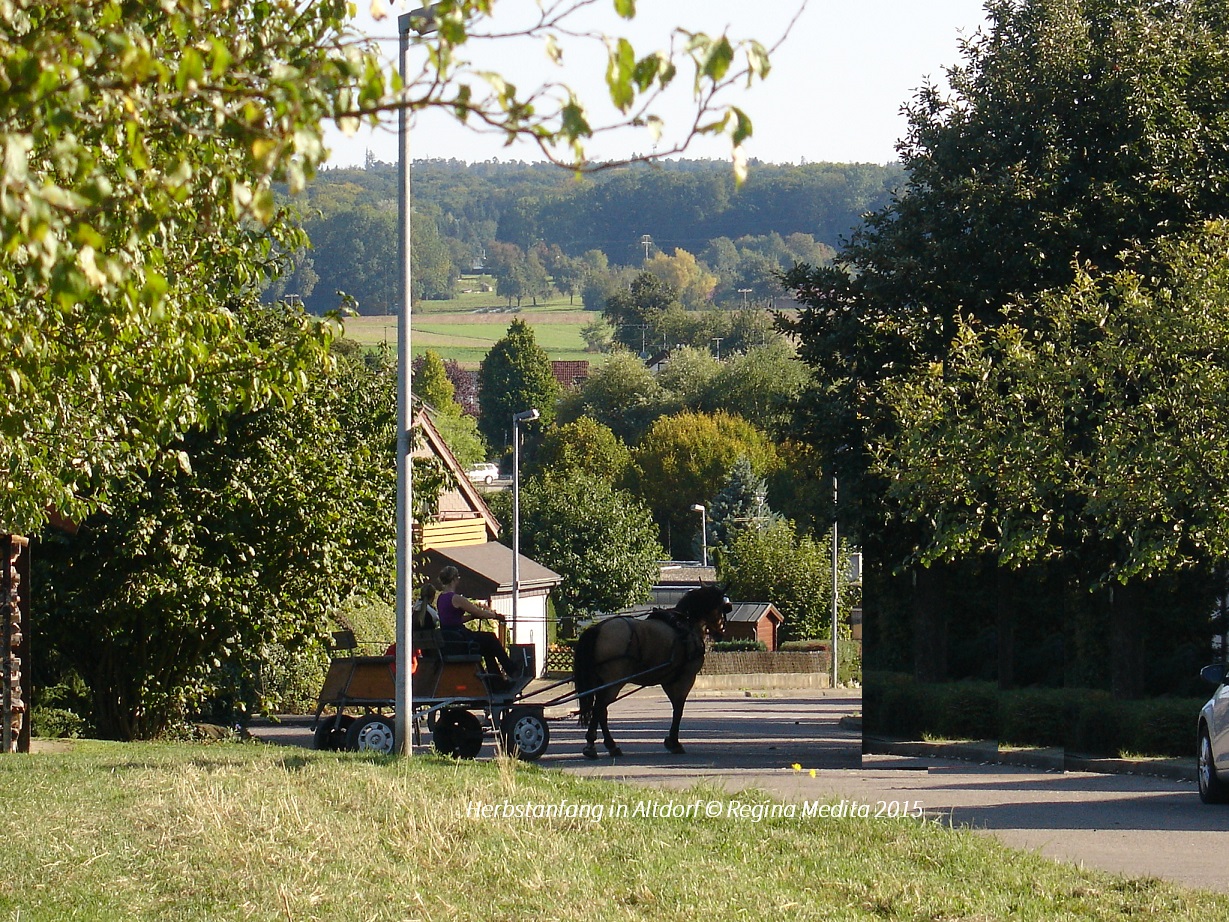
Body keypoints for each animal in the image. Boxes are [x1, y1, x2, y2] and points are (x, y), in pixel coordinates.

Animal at [572, 587, 727, 762]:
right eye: (722, 607)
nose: (721, 631)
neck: (686, 624)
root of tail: (598, 628)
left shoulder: (668, 681)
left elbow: (676, 708)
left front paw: (671, 741)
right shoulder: (685, 678)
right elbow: (678, 709)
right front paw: (674, 742)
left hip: (600, 682)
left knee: (600, 710)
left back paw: (601, 745)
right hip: (613, 682)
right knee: (600, 709)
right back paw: (602, 745)